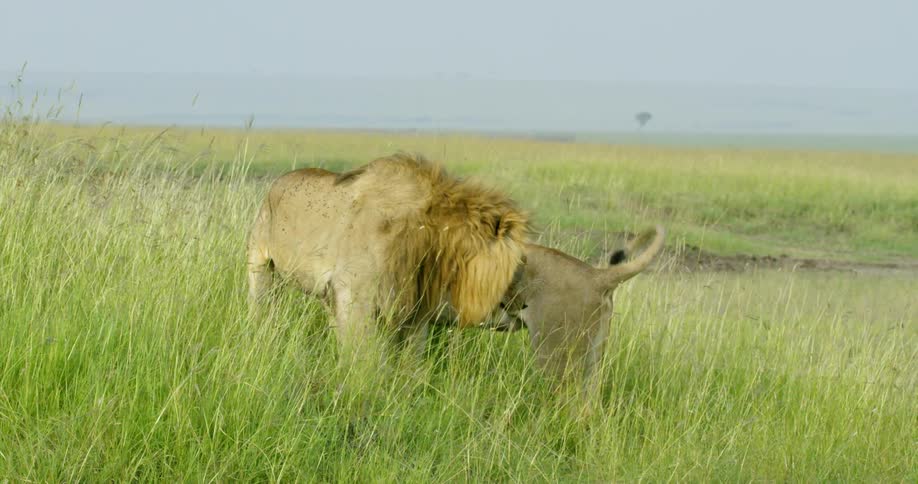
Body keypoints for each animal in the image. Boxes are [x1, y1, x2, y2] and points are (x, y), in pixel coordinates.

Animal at [246, 153, 528, 363]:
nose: (527, 304)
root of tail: (277, 181)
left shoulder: (414, 314)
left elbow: (411, 366)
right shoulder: (355, 300)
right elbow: (366, 361)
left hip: (328, 295)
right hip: (260, 266)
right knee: (262, 307)